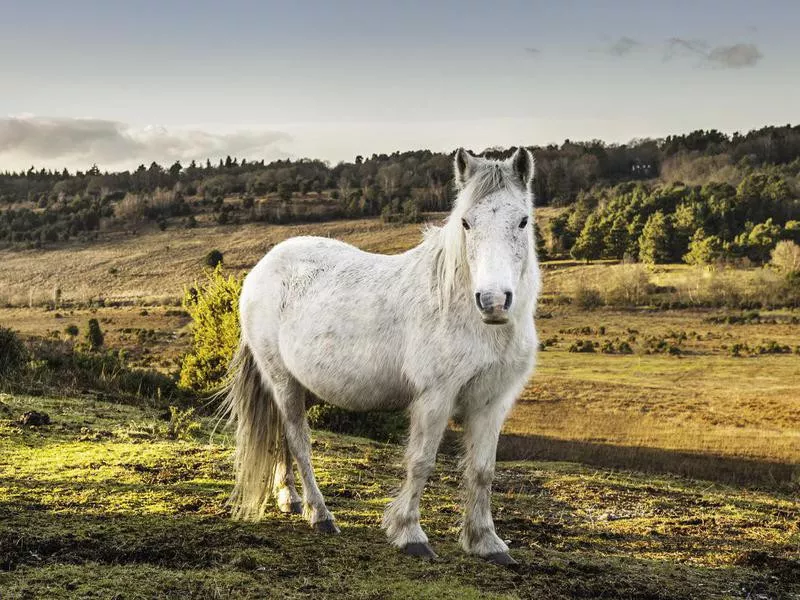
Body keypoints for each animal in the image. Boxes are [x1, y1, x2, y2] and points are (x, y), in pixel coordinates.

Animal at [222, 148, 540, 564]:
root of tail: (264, 266)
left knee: (282, 436)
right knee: (297, 439)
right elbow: (421, 462)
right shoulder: (434, 399)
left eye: (523, 221)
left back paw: (289, 498)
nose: (493, 301)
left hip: (300, 385)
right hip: (282, 379)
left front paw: (486, 541)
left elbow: (483, 471)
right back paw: (320, 515)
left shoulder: (492, 403)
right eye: (467, 223)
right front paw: (410, 534)